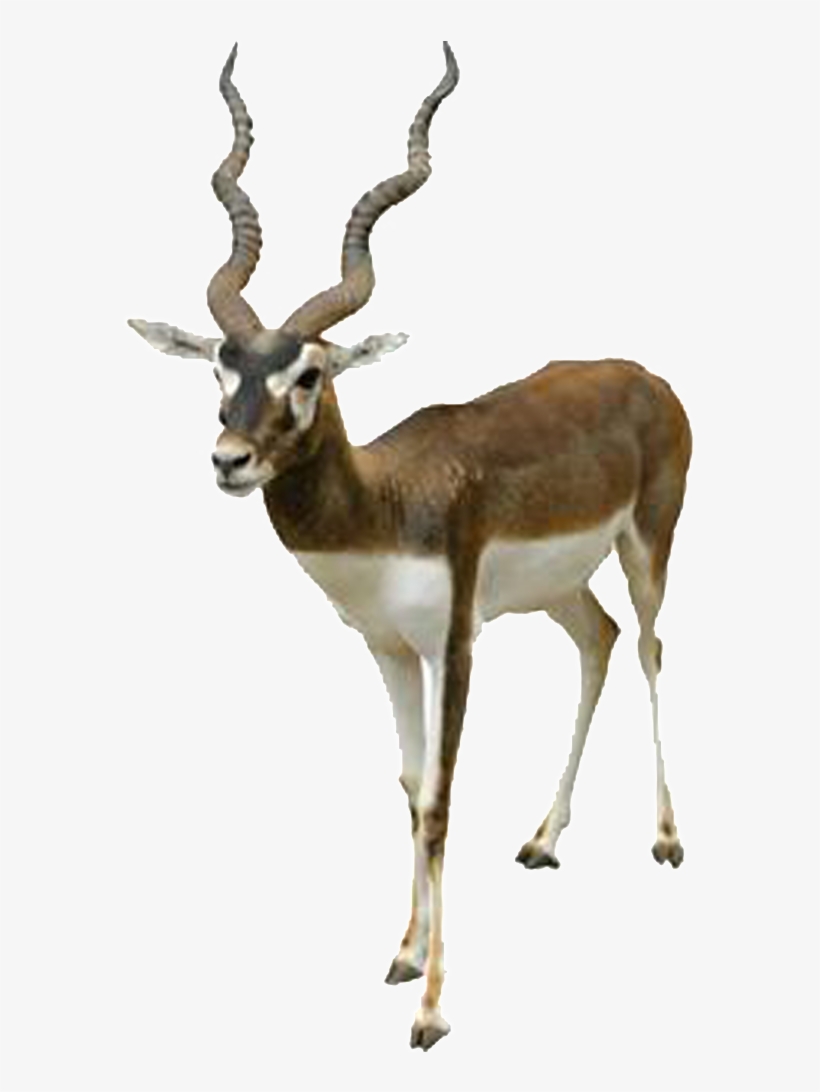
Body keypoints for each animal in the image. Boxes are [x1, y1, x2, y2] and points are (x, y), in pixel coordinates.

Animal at [129, 42, 692, 1051]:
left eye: (309, 373)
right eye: (222, 369)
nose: (230, 459)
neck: (387, 503)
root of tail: (643, 375)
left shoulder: (455, 645)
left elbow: (439, 798)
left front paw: (433, 1009)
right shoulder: (387, 649)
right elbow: (405, 784)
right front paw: (401, 954)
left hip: (647, 546)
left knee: (653, 647)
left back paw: (665, 840)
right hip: (559, 588)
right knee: (600, 641)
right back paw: (542, 840)